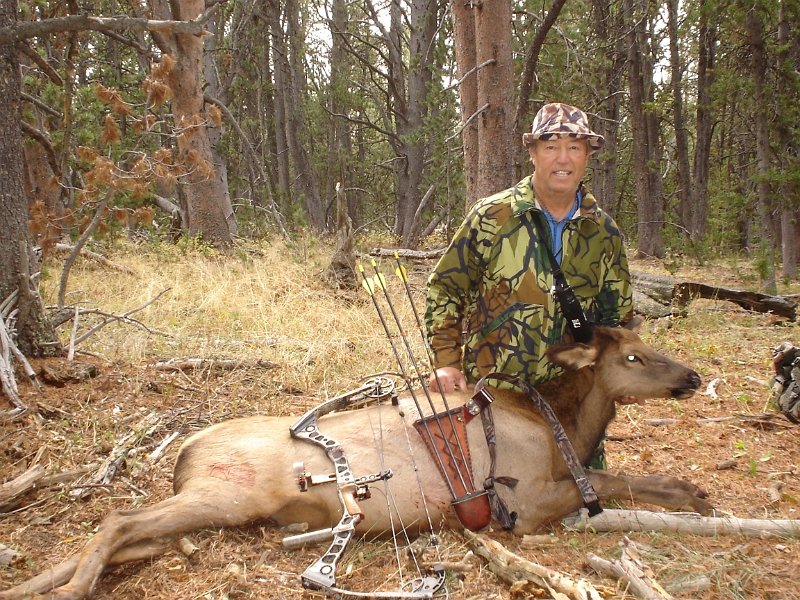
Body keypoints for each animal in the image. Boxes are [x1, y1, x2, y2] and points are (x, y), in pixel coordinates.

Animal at [1, 320, 711, 599]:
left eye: (652, 345)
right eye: (635, 357)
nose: (693, 376)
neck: (559, 421)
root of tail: (186, 450)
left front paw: (690, 490)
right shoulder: (527, 501)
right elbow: (611, 478)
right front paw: (692, 493)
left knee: (127, 532)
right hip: (226, 493)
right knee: (119, 519)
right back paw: (74, 588)